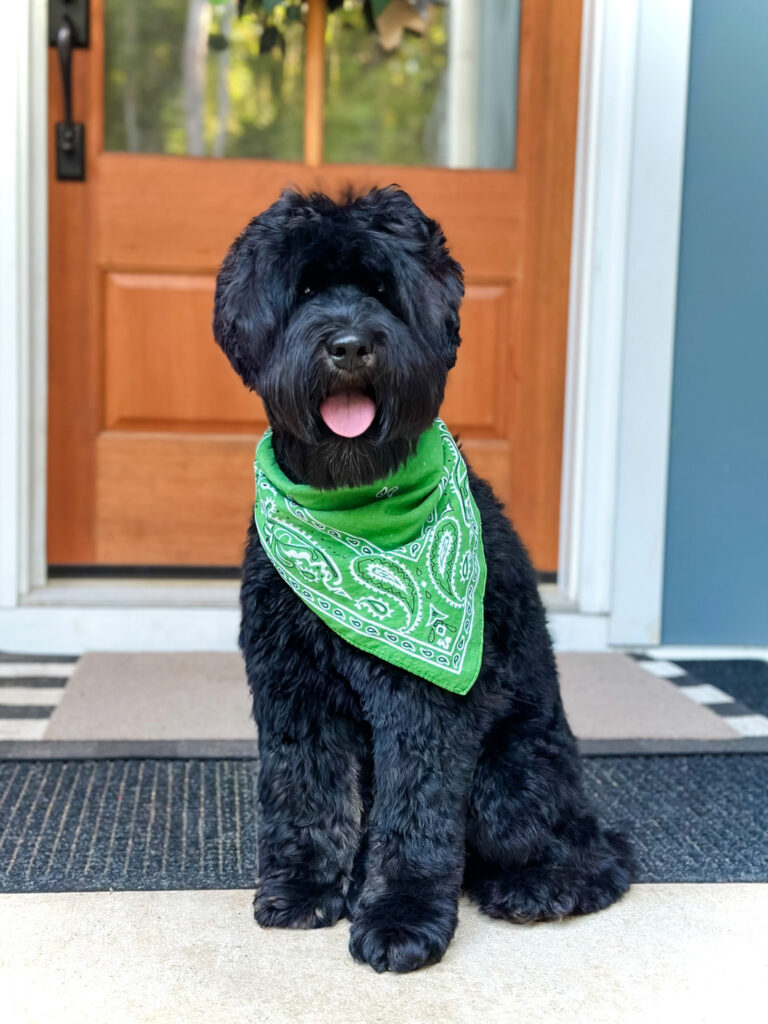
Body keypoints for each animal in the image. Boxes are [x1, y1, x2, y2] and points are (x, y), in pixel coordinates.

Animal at [214, 186, 634, 974]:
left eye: (383, 290)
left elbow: (416, 818)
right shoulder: (292, 686)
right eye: (305, 291)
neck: (354, 500)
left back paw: (538, 887)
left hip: (510, 776)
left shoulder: (426, 706)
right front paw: (306, 887)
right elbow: (304, 789)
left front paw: (401, 917)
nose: (350, 345)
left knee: (598, 854)